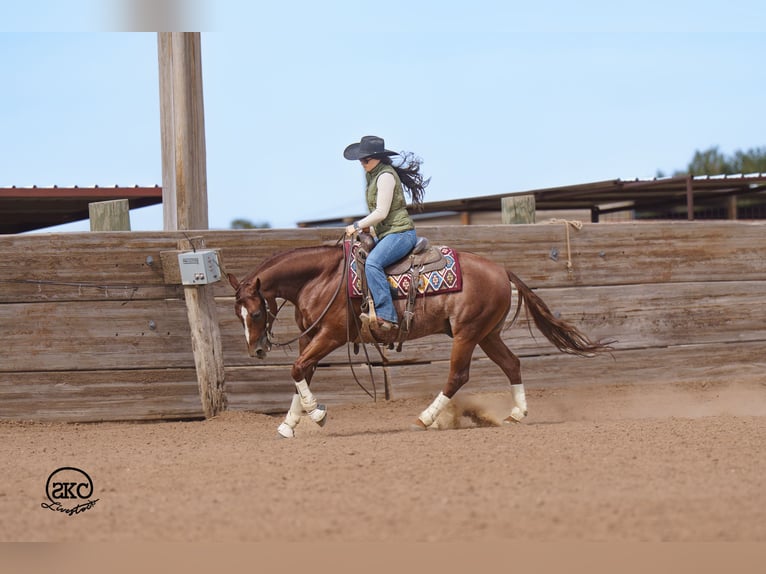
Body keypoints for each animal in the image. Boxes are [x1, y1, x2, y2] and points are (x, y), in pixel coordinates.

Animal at [227, 240, 610, 438]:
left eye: (256, 313)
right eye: (238, 313)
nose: (257, 349)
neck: (321, 278)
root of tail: (502, 270)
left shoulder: (332, 335)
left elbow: (296, 369)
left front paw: (317, 414)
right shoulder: (309, 339)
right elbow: (301, 372)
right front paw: (289, 424)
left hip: (467, 333)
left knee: (458, 375)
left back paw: (425, 418)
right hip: (487, 334)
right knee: (512, 364)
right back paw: (516, 414)